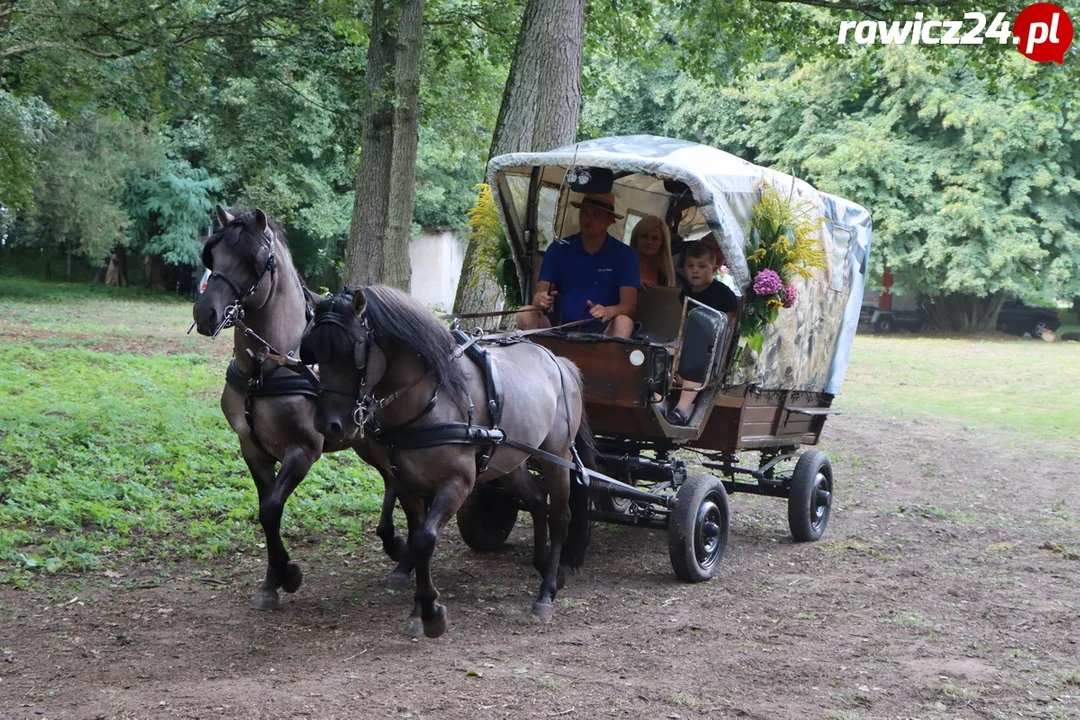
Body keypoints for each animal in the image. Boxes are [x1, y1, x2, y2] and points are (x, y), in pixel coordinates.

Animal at [300, 284, 596, 639]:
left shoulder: (457, 483)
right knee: (538, 500)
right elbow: (417, 539)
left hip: (557, 457)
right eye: (314, 352)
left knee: (561, 515)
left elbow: (425, 539)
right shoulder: (406, 483)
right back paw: (541, 563)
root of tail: (558, 361)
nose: (327, 425)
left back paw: (547, 591)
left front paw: (430, 612)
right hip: (510, 461)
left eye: (351, 352)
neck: (430, 400)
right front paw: (420, 608)